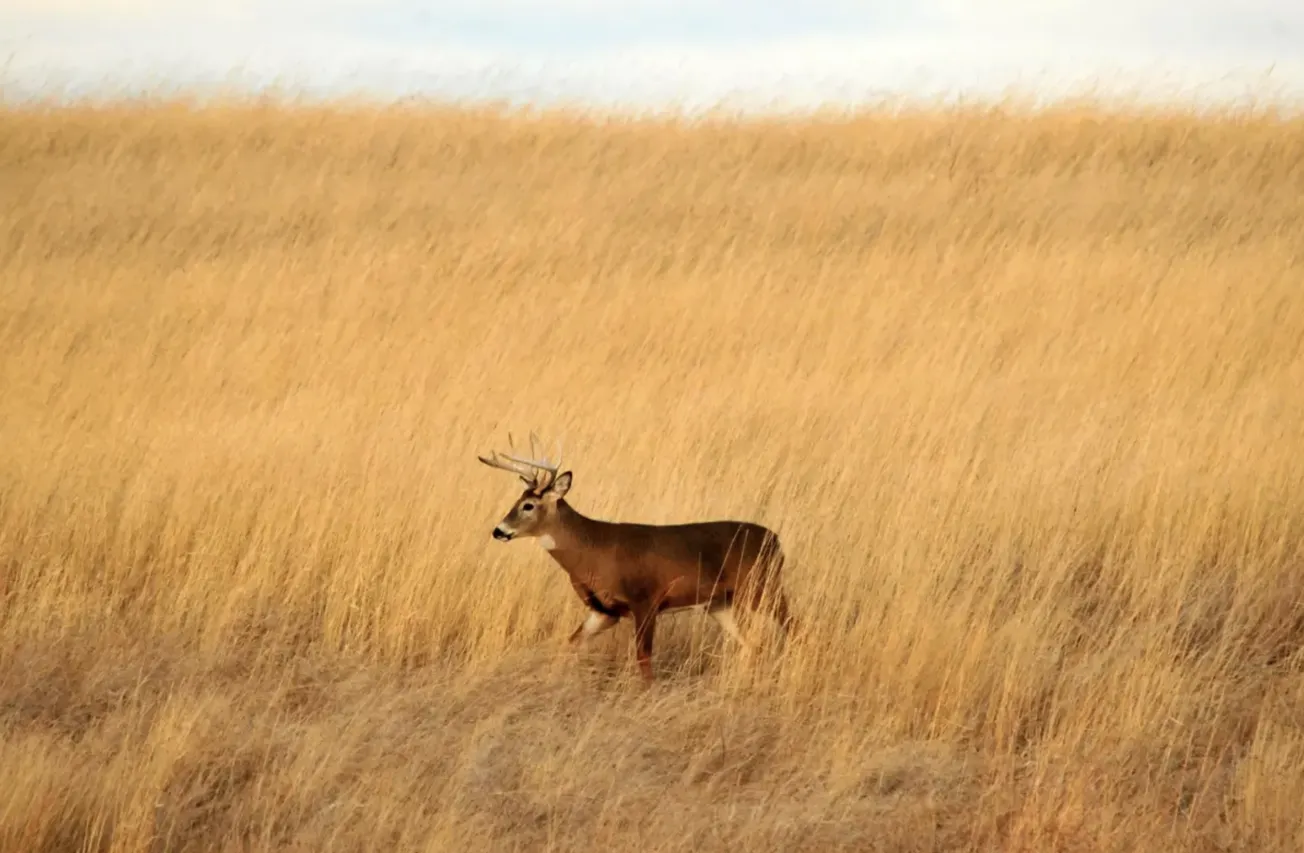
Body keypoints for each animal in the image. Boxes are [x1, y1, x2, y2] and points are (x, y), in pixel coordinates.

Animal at [477, 437, 796, 682]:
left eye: (529, 505)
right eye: (517, 501)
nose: (499, 531)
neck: (593, 550)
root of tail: (777, 541)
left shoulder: (646, 600)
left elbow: (644, 662)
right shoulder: (603, 611)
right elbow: (570, 644)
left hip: (763, 588)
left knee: (793, 626)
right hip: (720, 603)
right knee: (751, 645)